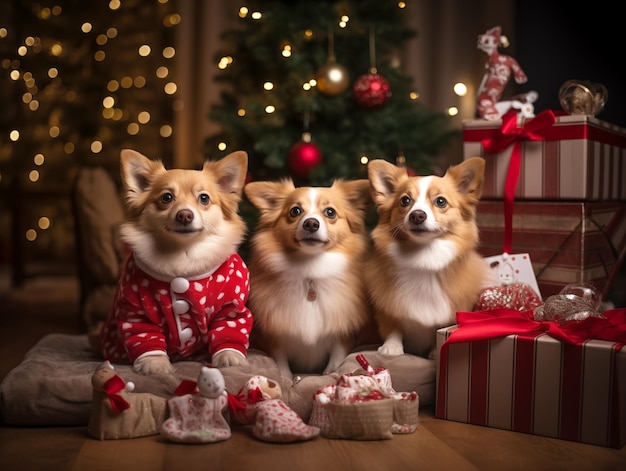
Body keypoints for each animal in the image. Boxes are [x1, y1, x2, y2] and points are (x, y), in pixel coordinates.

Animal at [100, 149, 251, 374]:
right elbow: (146, 337)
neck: (183, 256)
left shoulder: (230, 307)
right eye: (167, 197)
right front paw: (154, 363)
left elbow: (228, 329)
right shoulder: (136, 312)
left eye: (204, 198)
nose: (185, 215)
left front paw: (229, 356)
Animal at [243, 178, 370, 380]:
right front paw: (286, 377)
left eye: (330, 212)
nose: (311, 223)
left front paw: (330, 373)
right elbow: (280, 359)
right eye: (295, 211)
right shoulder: (275, 332)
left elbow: (337, 356)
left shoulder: (343, 328)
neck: (310, 270)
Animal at [364, 157, 494, 360]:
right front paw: (392, 347)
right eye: (405, 200)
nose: (417, 215)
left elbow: (438, 329)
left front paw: (434, 352)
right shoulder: (387, 308)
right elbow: (393, 326)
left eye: (441, 201)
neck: (424, 255)